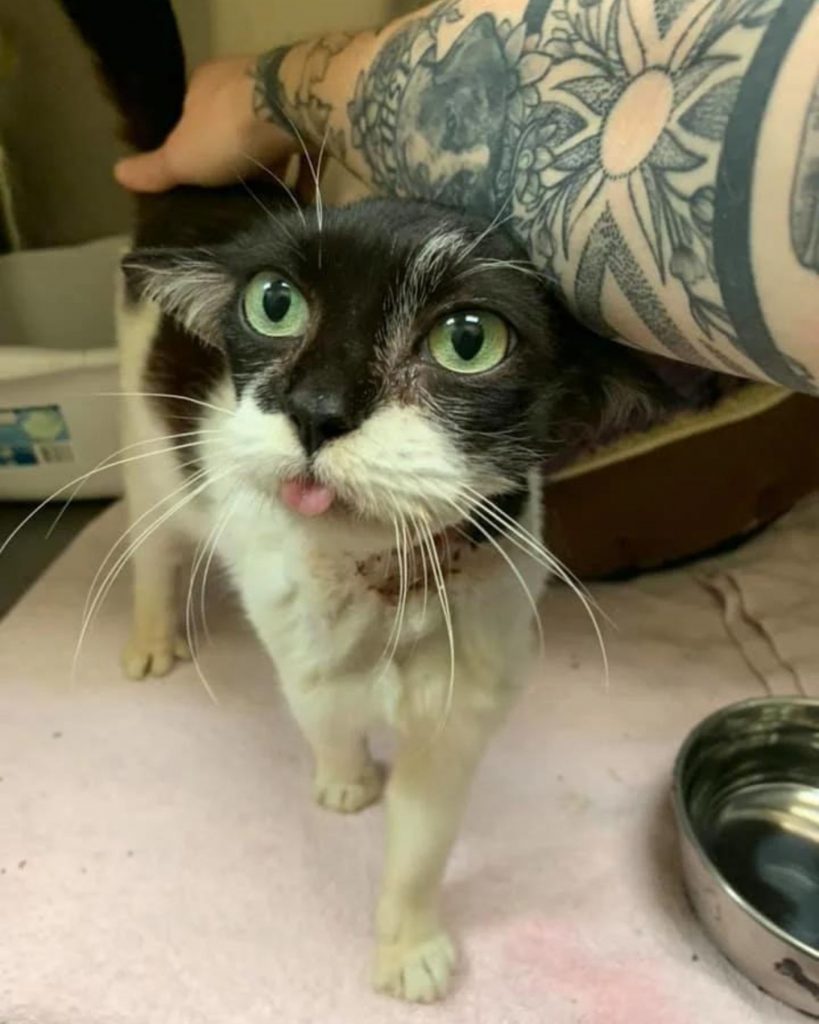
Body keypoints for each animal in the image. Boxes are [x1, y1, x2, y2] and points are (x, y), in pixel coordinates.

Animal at [63, 0, 675, 1007]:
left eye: (468, 340)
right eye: (273, 304)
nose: (316, 409)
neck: (383, 582)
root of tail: (197, 190)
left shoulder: (467, 694)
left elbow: (424, 840)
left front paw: (408, 948)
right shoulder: (296, 642)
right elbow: (325, 715)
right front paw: (346, 782)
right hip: (153, 447)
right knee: (153, 544)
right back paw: (153, 635)